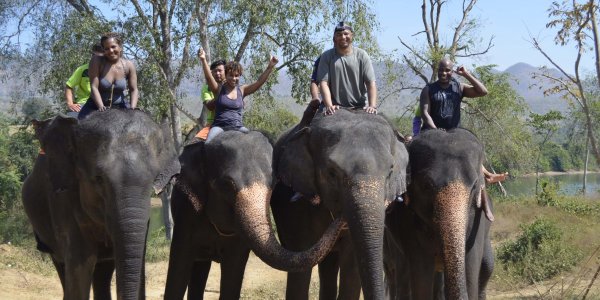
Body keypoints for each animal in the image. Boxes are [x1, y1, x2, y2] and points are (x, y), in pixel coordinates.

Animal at [21, 110, 180, 300]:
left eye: (154, 179)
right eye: (98, 179)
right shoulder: (64, 203)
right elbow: (82, 262)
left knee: (103, 269)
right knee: (63, 263)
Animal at [163, 131, 346, 300]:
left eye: (274, 183)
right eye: (226, 185)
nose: (342, 218)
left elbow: (233, 272)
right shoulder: (186, 213)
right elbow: (178, 268)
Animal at [384, 127, 492, 298]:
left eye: (475, 185)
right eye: (426, 185)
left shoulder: (477, 218)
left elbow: (470, 268)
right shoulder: (407, 223)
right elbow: (421, 275)